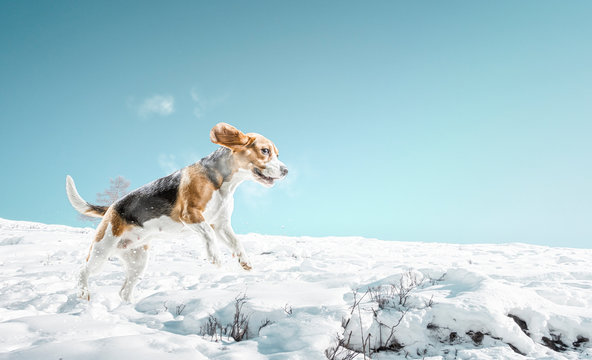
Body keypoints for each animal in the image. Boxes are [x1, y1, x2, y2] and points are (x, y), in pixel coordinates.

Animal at [66, 123, 288, 300]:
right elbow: (208, 234)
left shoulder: (221, 224)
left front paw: (245, 261)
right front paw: (215, 256)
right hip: (101, 250)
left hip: (138, 261)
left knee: (124, 292)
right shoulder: (190, 214)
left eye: (276, 153)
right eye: (265, 151)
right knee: (82, 270)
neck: (222, 180)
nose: (286, 171)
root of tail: (112, 207)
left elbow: (236, 242)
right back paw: (83, 292)